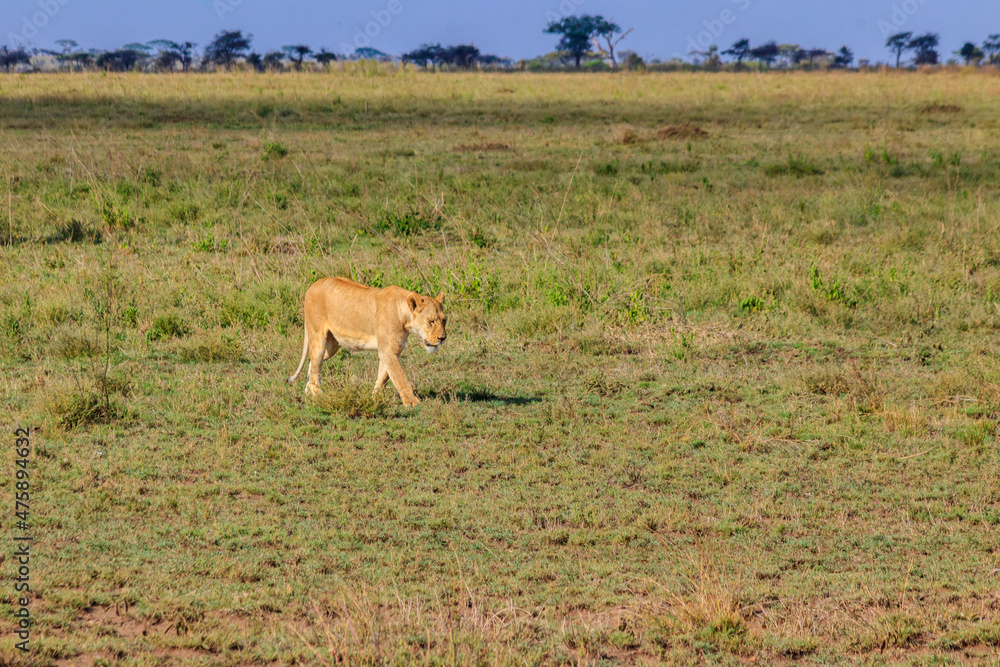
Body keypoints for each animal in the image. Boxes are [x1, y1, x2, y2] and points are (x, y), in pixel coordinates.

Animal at [287, 277, 447, 406]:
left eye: (444, 320)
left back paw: (309, 393)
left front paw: (374, 398)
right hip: (317, 336)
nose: (442, 338)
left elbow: (383, 377)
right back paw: (320, 397)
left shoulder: (392, 351)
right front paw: (412, 402)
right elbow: (400, 378)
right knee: (315, 367)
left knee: (313, 364)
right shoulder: (388, 351)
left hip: (332, 346)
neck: (405, 317)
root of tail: (312, 286)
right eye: (431, 321)